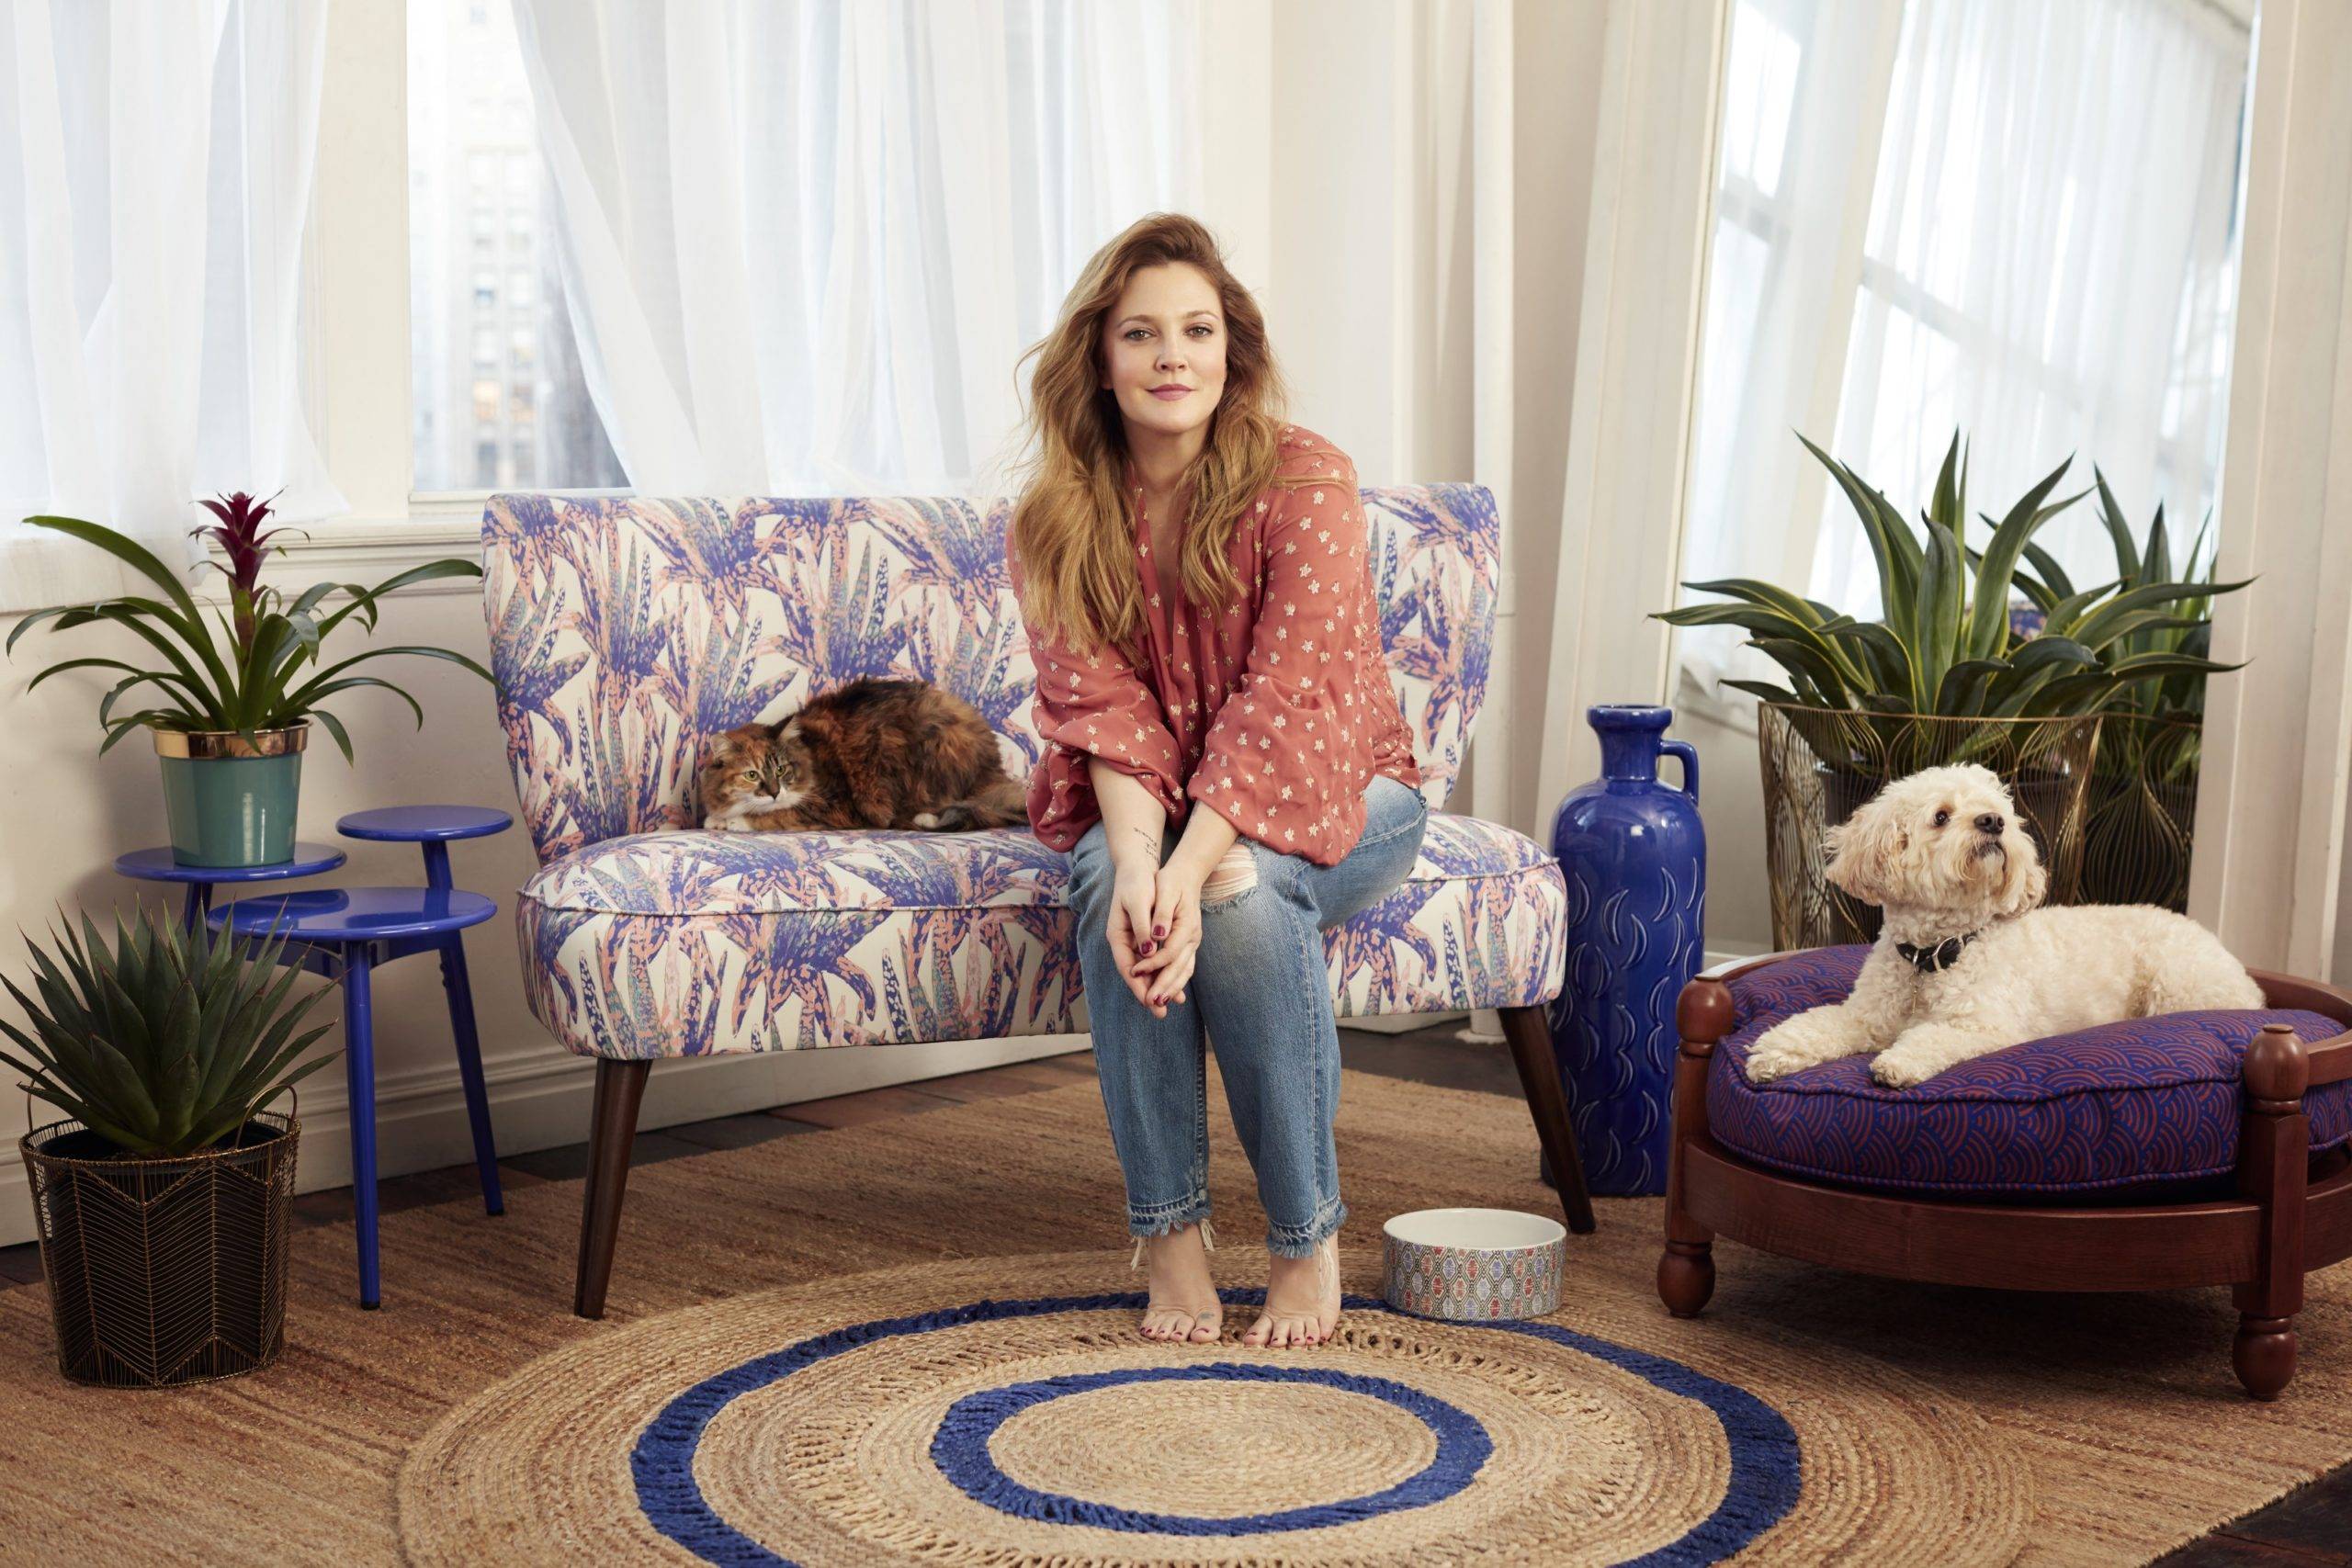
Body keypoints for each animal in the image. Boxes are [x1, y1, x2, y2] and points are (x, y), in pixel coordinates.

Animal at [695, 677, 1030, 831]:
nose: (775, 792)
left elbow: (778, 814)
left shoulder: (834, 806)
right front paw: (718, 819)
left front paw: (735, 821)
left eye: (781, 770)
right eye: (752, 775)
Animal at [1749, 761, 2257, 1090]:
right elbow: (1819, 1024)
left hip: (2177, 986)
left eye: (1999, 812)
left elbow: (1931, 1036)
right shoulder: (1866, 1016)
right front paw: (1772, 1052)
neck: (1936, 953)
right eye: (1941, 816)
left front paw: (1898, 1061)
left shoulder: (1987, 1028)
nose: (1992, 822)